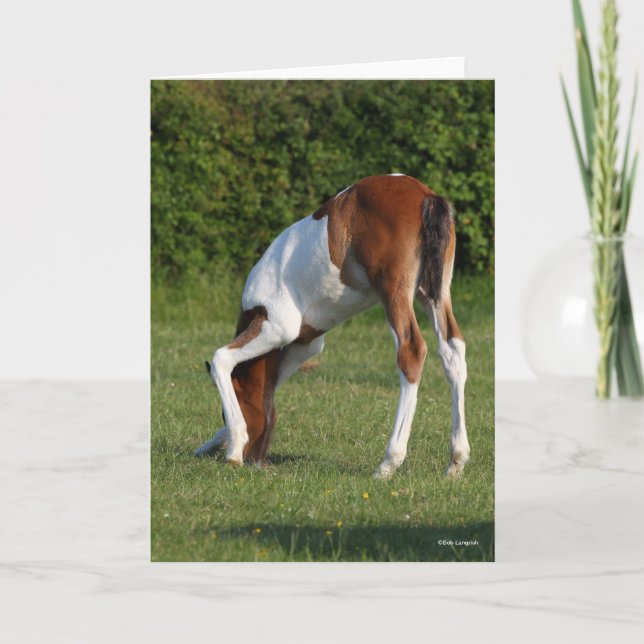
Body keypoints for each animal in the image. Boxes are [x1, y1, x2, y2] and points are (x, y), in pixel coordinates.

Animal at [195, 174, 470, 480]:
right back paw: (456, 460)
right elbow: (271, 387)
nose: (256, 462)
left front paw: (233, 449)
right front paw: (212, 445)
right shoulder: (304, 343)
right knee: (452, 351)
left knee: (411, 351)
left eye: (223, 412)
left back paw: (389, 462)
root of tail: (425, 195)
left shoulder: (276, 327)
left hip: (394, 293)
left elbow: (222, 358)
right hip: (433, 293)